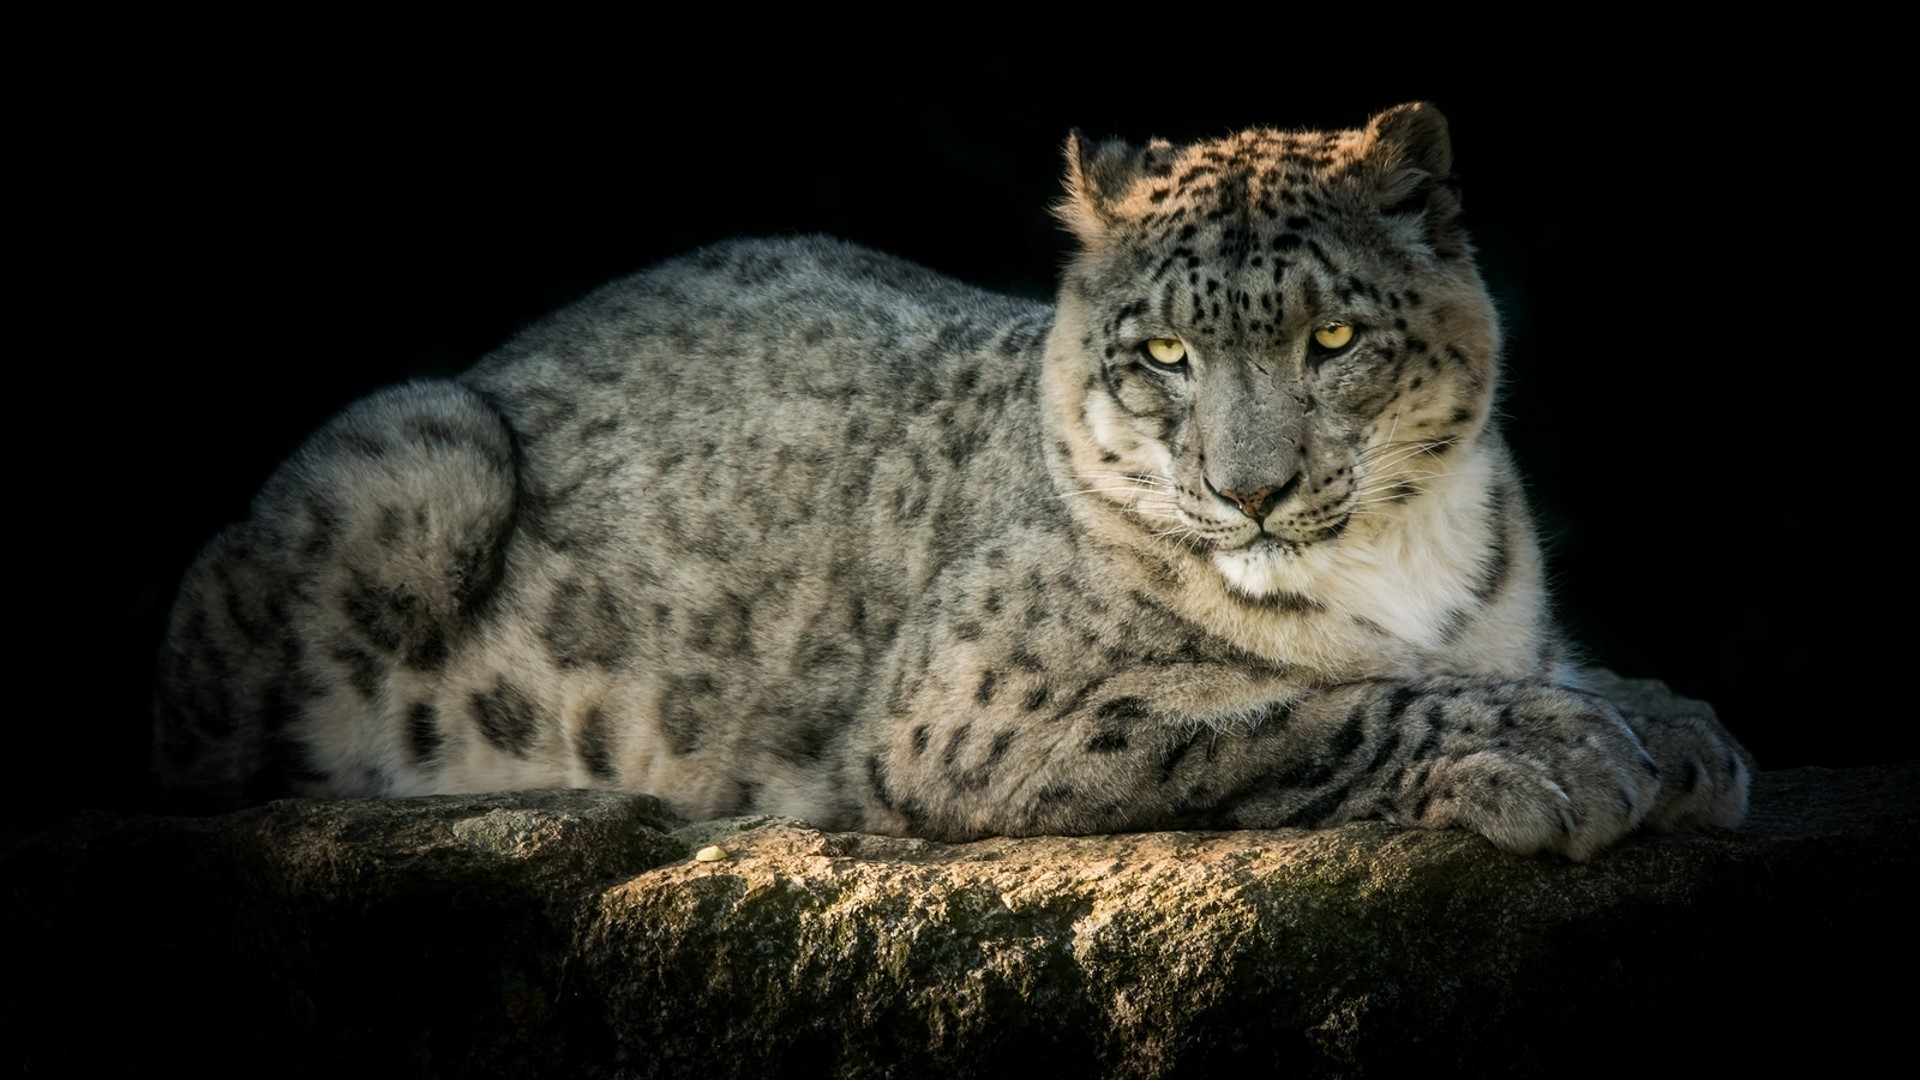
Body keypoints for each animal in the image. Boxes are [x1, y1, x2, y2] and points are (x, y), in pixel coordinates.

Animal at [153, 102, 1752, 859]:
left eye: (1336, 337)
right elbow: (1312, 707)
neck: (1399, 570)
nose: (1249, 490)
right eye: (1164, 352)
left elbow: (1533, 662)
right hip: (415, 459)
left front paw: (1672, 727)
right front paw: (1561, 757)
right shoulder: (987, 707)